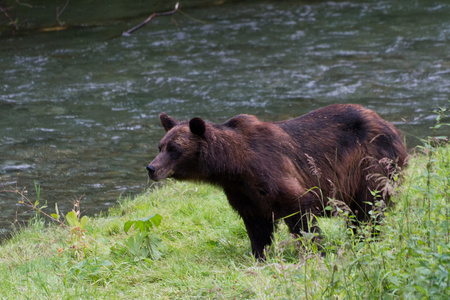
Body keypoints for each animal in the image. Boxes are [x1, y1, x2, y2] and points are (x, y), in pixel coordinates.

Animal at [146, 103, 406, 258]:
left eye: (174, 149)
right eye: (160, 146)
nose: (151, 168)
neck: (235, 164)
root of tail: (391, 127)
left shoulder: (273, 171)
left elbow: (301, 211)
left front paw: (315, 248)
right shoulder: (243, 192)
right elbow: (256, 225)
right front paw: (259, 254)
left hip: (370, 163)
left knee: (369, 208)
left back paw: (366, 238)